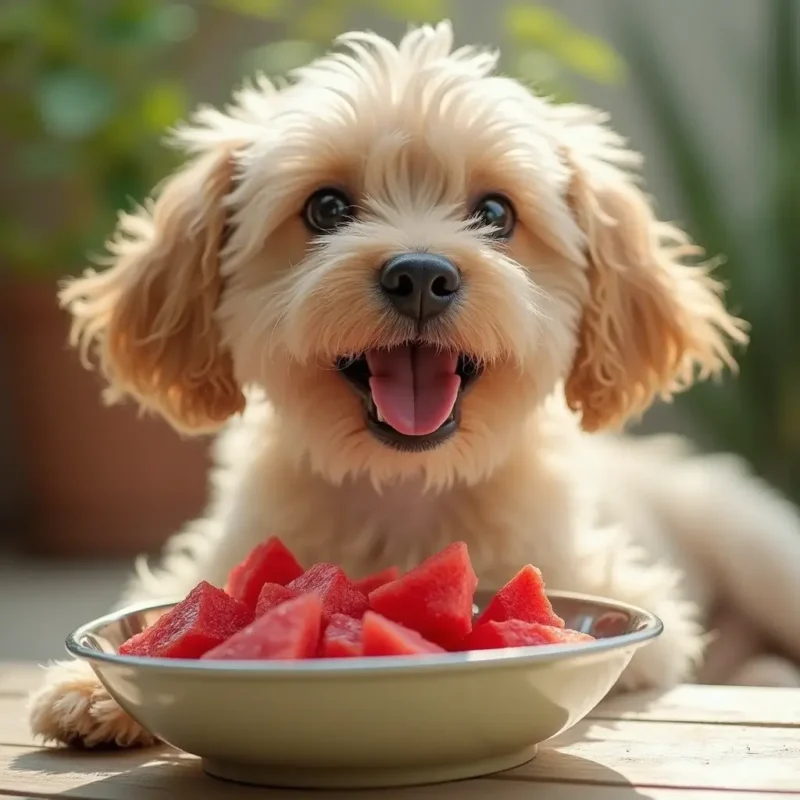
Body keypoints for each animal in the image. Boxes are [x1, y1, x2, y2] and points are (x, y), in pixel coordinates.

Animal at [28, 23, 800, 752]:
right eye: (326, 208)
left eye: (496, 213)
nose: (421, 275)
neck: (406, 487)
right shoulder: (221, 559)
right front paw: (90, 689)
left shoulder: (626, 596)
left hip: (756, 546)